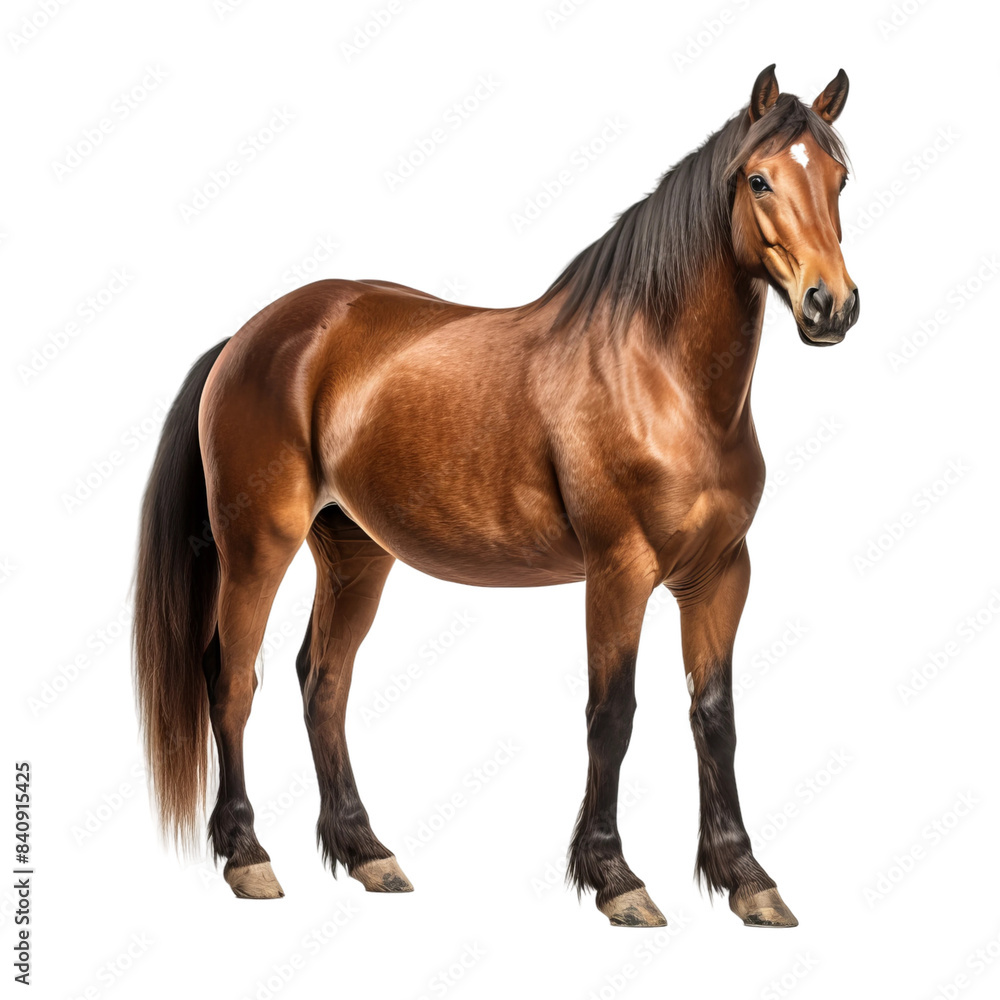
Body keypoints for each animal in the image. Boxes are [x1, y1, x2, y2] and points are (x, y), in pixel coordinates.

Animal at [133, 64, 858, 927]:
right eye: (759, 180)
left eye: (840, 179)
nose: (830, 305)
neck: (661, 376)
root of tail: (250, 336)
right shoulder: (619, 573)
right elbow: (612, 716)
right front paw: (616, 878)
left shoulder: (719, 574)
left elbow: (714, 717)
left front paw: (746, 878)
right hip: (257, 548)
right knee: (233, 678)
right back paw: (247, 855)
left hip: (354, 553)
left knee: (324, 682)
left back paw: (367, 852)